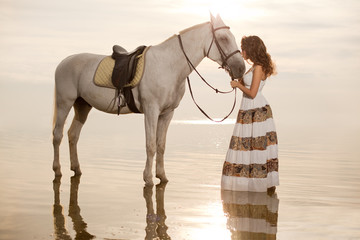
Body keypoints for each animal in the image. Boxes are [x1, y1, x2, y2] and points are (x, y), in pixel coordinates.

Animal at [52, 14, 245, 185]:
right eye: (223, 38)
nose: (241, 68)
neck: (169, 65)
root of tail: (64, 61)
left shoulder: (167, 113)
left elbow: (161, 145)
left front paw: (162, 176)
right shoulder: (151, 111)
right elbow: (150, 145)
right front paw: (149, 179)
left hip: (83, 105)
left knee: (73, 135)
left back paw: (76, 168)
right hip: (64, 103)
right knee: (57, 135)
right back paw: (57, 170)